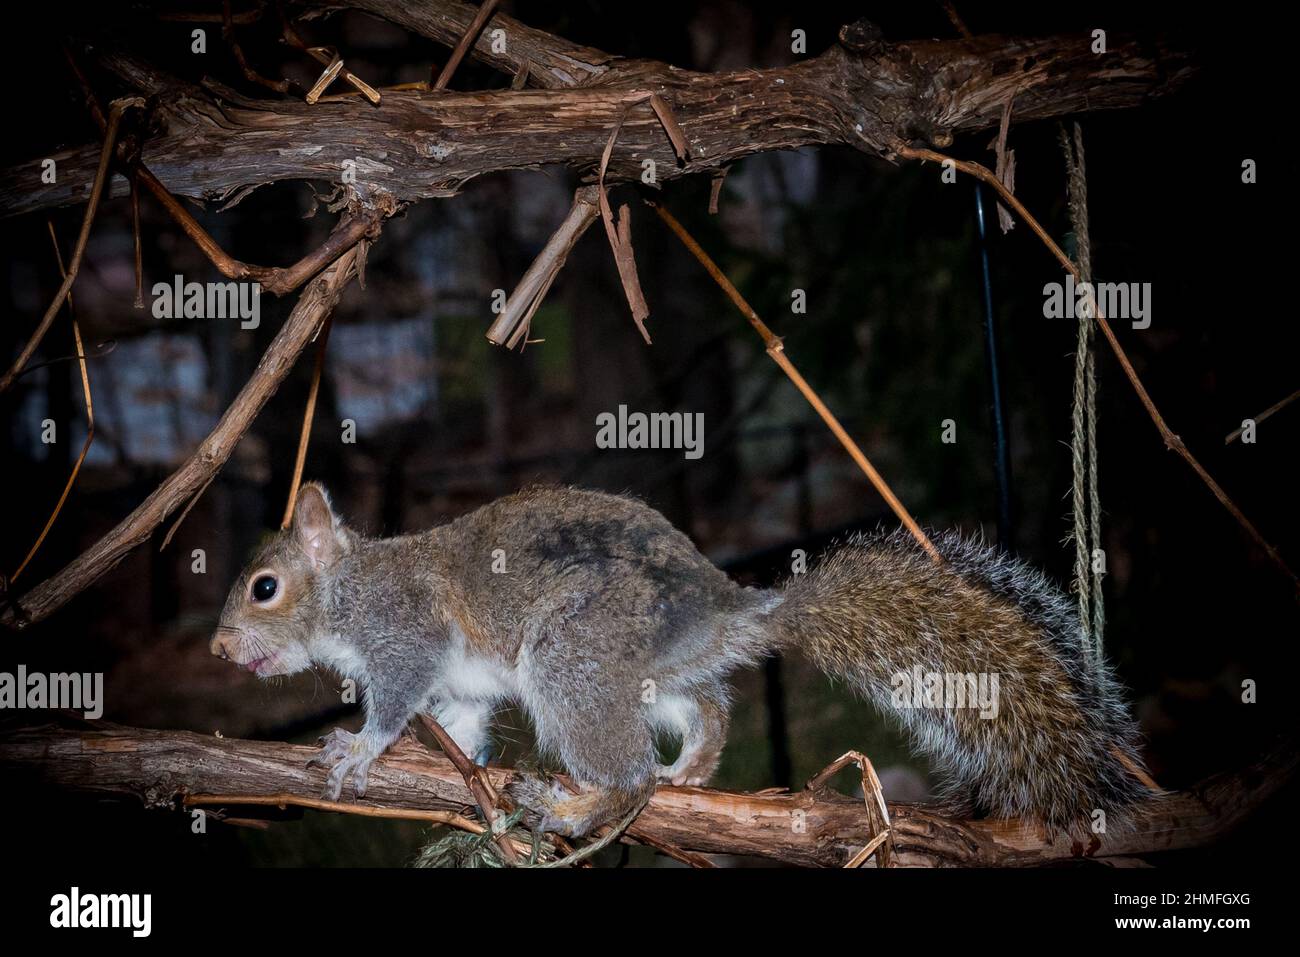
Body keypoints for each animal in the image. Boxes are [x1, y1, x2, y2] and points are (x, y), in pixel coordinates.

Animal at [210, 481, 1149, 832]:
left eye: (264, 586)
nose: (218, 646)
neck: (348, 588)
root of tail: (725, 607)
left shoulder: (403, 634)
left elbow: (398, 697)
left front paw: (360, 747)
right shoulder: (461, 685)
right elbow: (463, 723)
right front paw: (460, 773)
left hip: (574, 655)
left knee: (628, 770)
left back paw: (582, 803)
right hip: (640, 673)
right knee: (710, 705)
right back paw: (690, 766)